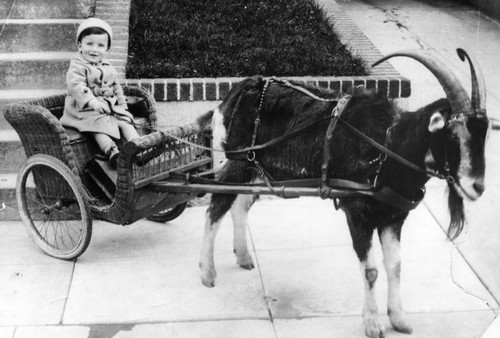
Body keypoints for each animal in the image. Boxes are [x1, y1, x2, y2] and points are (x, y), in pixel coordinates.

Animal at [195, 48, 488, 338]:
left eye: (484, 135)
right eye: (452, 134)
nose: (478, 186)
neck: (386, 147)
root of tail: (234, 94)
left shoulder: (393, 216)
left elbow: (395, 266)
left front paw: (399, 320)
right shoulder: (357, 212)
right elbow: (371, 271)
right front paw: (372, 324)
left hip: (256, 169)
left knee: (240, 204)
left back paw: (243, 256)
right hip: (237, 161)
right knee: (217, 205)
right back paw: (207, 274)